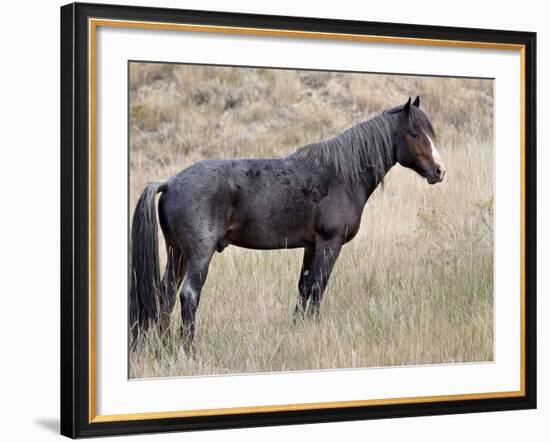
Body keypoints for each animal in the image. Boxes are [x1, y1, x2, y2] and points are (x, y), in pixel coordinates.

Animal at [130, 96, 448, 352]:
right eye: (415, 133)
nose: (439, 171)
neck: (339, 176)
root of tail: (170, 182)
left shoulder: (311, 246)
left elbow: (304, 287)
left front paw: (299, 330)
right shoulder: (329, 244)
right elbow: (318, 287)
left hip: (177, 254)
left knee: (165, 296)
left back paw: (163, 347)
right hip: (198, 255)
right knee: (188, 295)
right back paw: (188, 349)